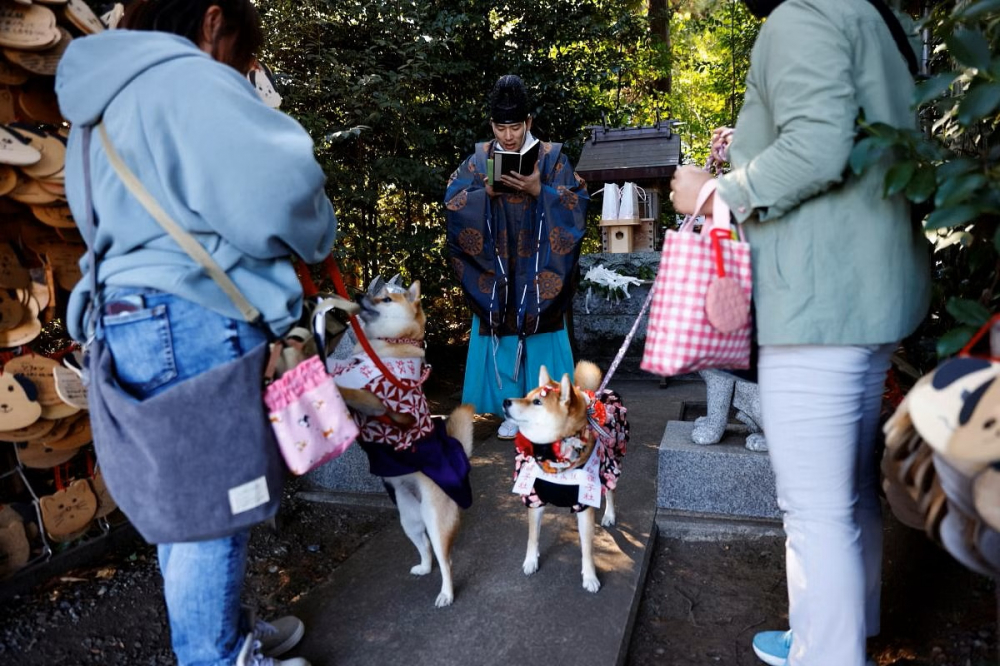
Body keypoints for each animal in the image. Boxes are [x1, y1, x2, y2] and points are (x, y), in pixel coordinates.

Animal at [330, 274, 474, 608]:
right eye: (374, 292)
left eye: (386, 299)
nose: (358, 294)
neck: (383, 349)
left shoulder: (377, 402)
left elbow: (342, 386)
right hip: (409, 520)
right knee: (426, 549)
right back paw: (423, 567)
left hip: (436, 520)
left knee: (446, 560)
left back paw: (446, 594)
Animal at [504, 360, 628, 592]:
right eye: (526, 395)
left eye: (537, 402)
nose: (506, 401)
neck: (553, 457)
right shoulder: (535, 499)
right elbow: (533, 536)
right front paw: (531, 561)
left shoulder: (584, 505)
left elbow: (587, 548)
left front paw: (590, 577)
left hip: (610, 463)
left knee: (610, 492)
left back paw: (609, 515)